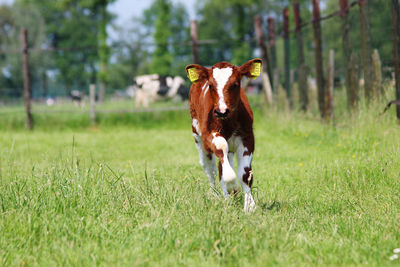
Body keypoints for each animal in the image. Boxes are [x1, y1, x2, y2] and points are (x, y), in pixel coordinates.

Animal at [185, 59, 262, 214]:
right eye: (210, 85)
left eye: (235, 84)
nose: (221, 111)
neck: (228, 122)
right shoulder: (209, 136)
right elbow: (221, 161)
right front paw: (232, 187)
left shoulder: (247, 138)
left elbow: (245, 174)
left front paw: (250, 206)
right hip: (198, 138)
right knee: (211, 169)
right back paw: (217, 195)